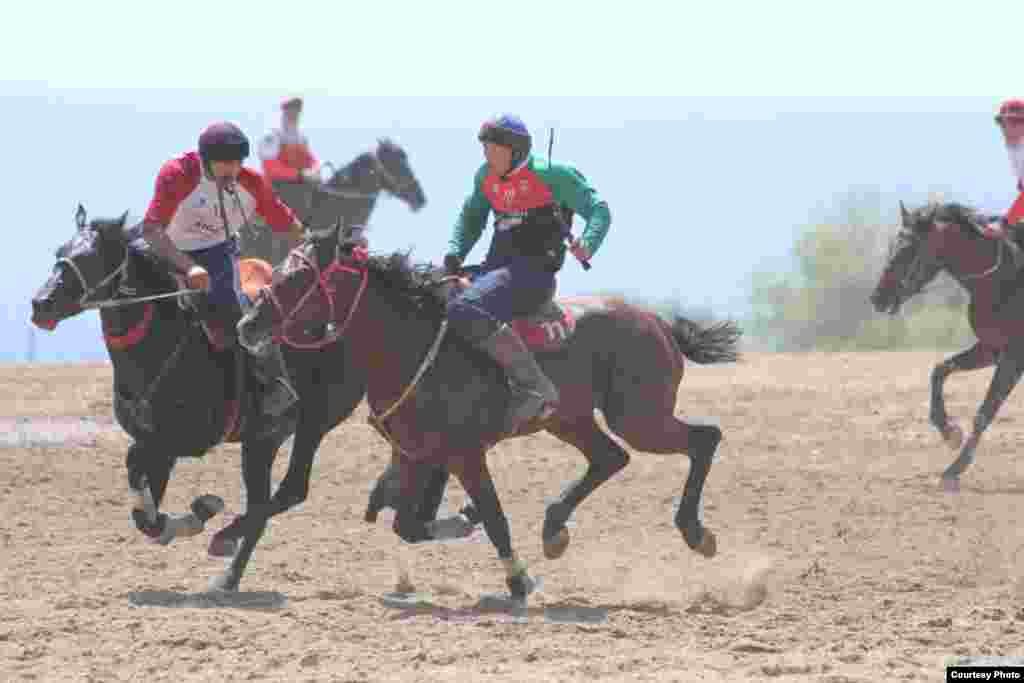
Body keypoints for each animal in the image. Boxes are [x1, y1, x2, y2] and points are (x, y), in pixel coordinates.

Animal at [29, 137, 425, 589]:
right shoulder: (155, 443)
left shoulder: (182, 441)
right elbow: (143, 507)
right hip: (268, 437)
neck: (161, 346)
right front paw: (186, 517)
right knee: (272, 496)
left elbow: (144, 487)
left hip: (306, 422)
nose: (40, 304)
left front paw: (203, 509)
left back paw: (227, 555)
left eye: (92, 259)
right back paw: (228, 555)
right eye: (60, 252)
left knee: (285, 492)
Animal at [235, 236, 741, 602]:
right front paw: (463, 522)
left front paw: (518, 579)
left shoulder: (465, 454)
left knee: (704, 439)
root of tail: (657, 322)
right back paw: (554, 529)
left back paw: (695, 531)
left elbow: (493, 517)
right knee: (611, 458)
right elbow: (408, 524)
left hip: (639, 416)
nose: (248, 324)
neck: (411, 344)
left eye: (301, 276)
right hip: (572, 420)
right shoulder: (415, 453)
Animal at [872, 198, 1024, 491]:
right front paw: (949, 431)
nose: (878, 297)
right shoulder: (992, 349)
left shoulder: (1014, 357)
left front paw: (954, 470)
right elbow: (940, 369)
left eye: (908, 250)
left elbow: (985, 411)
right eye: (893, 245)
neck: (1004, 278)